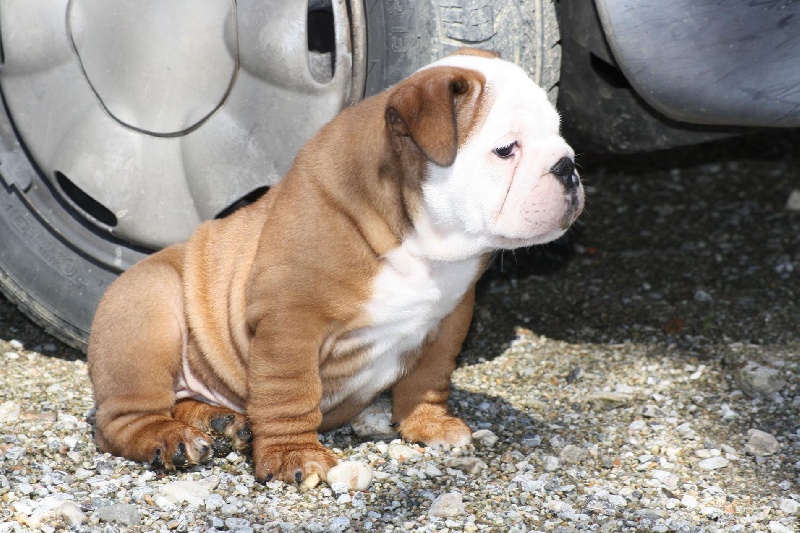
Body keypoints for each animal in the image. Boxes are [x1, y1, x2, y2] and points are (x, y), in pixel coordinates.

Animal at [87, 48, 584, 482]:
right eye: (506, 149)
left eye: (560, 135)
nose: (569, 166)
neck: (419, 241)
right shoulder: (290, 323)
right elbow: (289, 392)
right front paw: (292, 454)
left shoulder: (450, 320)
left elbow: (428, 377)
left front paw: (429, 423)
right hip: (148, 313)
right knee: (122, 418)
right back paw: (169, 437)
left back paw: (222, 421)